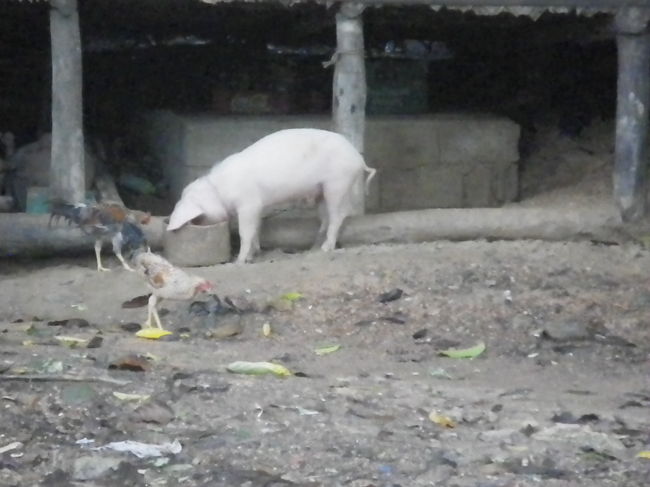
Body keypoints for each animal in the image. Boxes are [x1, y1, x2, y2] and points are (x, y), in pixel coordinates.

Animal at [167, 127, 374, 264]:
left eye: (198, 217)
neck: (218, 191)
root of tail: (359, 159)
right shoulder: (257, 206)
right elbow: (256, 229)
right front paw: (253, 255)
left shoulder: (248, 204)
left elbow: (245, 232)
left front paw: (240, 261)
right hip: (322, 189)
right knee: (326, 216)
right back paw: (315, 245)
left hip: (338, 183)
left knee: (339, 214)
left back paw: (326, 248)